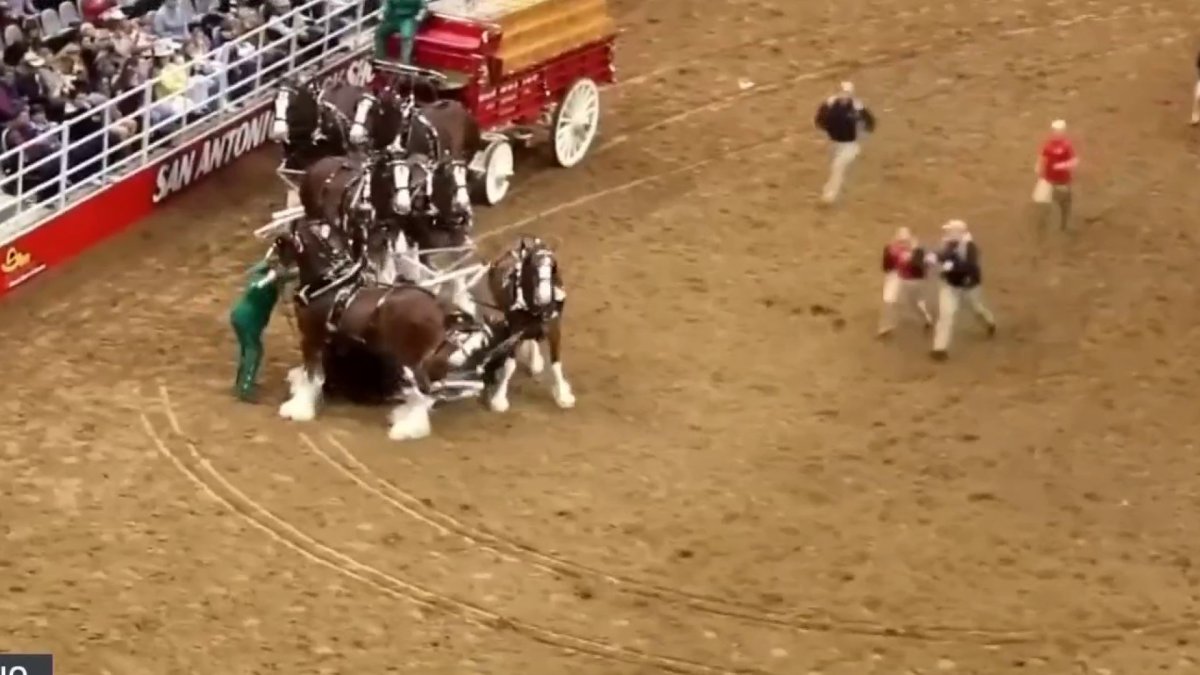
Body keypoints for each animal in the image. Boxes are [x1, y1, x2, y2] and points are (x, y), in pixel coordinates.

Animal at [271, 218, 451, 439]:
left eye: (284, 238)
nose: (274, 258)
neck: (327, 284)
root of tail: (437, 308)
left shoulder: (311, 339)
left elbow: (311, 376)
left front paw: (297, 409)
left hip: (409, 360)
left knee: (423, 391)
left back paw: (409, 428)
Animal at [480, 234, 573, 410]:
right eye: (533, 267)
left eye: (553, 266)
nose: (544, 297)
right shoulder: (515, 333)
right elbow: (510, 366)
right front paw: (499, 399)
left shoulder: (554, 329)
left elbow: (556, 363)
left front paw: (563, 395)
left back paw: (535, 361)